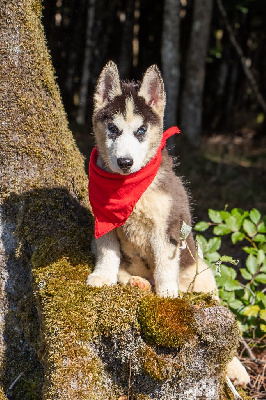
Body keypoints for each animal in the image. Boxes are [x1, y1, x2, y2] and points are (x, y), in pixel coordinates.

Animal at [87, 61, 249, 386]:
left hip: (203, 275)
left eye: (140, 131)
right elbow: (109, 254)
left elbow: (164, 264)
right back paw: (135, 281)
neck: (129, 188)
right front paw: (103, 277)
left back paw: (236, 368)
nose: (125, 163)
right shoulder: (104, 225)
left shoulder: (168, 228)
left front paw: (166, 295)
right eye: (113, 129)